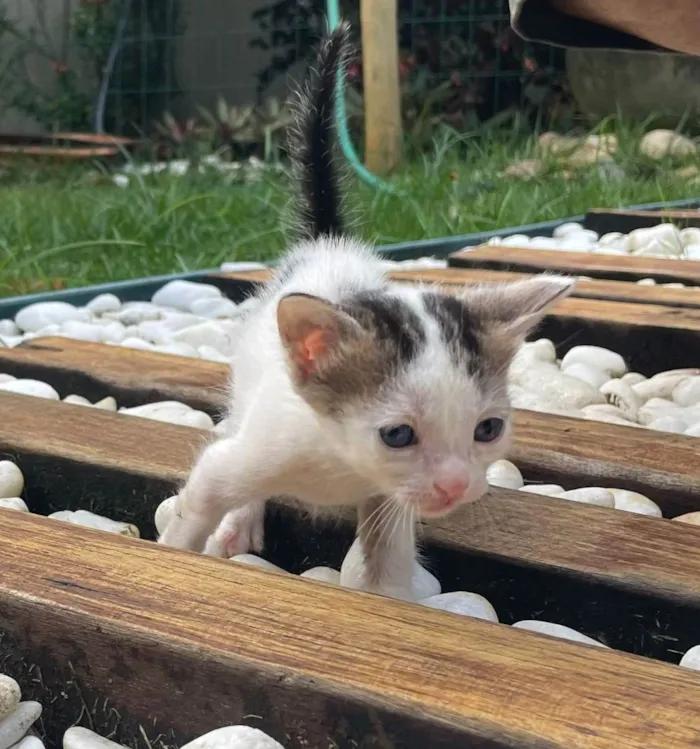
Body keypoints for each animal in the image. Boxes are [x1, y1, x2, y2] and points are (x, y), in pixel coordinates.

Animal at [159, 20, 576, 600]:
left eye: (488, 429)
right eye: (397, 435)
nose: (456, 485)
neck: (340, 464)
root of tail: (329, 244)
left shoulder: (392, 500)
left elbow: (382, 559)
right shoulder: (256, 449)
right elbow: (197, 505)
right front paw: (175, 555)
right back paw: (240, 520)